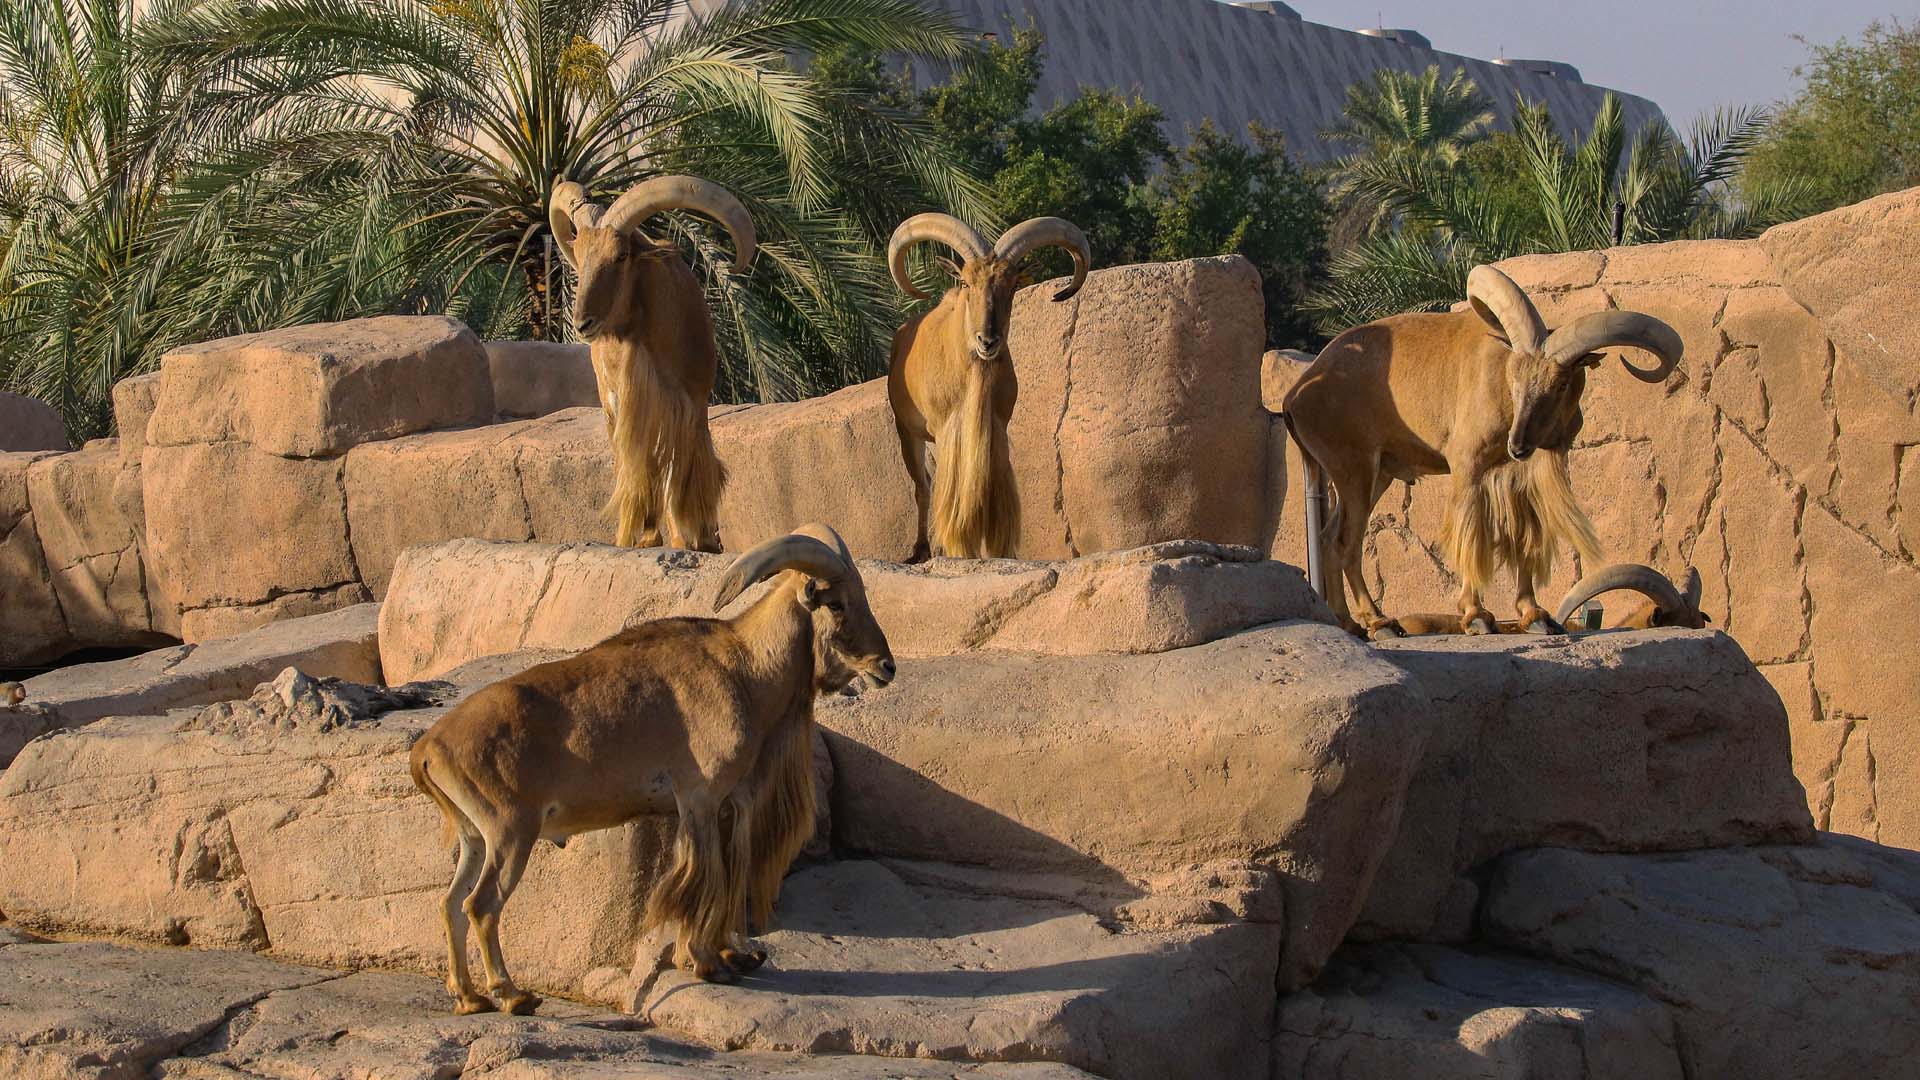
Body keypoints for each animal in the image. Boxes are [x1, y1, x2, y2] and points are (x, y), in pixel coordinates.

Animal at [407, 523, 895, 1016]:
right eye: (837, 602)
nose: (886, 667)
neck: (745, 670)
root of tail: (427, 747)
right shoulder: (700, 798)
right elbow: (703, 877)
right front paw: (706, 963)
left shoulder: (718, 805)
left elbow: (720, 874)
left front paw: (734, 955)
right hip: (510, 833)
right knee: (481, 905)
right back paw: (511, 994)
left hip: (473, 837)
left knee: (450, 903)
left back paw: (468, 996)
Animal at [548, 176, 756, 552]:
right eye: (580, 254)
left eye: (621, 256)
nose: (583, 323)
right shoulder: (620, 404)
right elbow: (637, 464)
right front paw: (640, 537)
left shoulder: (689, 403)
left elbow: (681, 467)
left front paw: (695, 538)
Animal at [886, 213, 1091, 560]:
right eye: (966, 283)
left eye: (1012, 286)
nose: (988, 340)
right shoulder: (947, 429)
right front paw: (958, 545)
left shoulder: (996, 427)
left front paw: (999, 549)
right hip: (908, 431)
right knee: (923, 486)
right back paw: (921, 549)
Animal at [1283, 264, 1684, 639]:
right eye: (1514, 376)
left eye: (1561, 383)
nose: (1518, 445)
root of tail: (1295, 396)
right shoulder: (1468, 466)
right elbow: (1472, 534)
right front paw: (1476, 616)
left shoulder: (1521, 476)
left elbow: (1523, 539)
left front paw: (1534, 614)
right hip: (1354, 468)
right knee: (1345, 541)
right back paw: (1379, 621)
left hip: (1375, 474)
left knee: (1328, 538)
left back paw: (1349, 622)